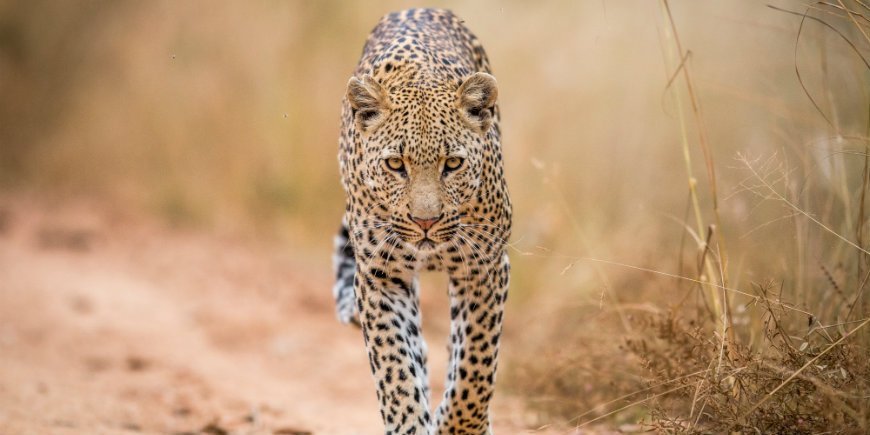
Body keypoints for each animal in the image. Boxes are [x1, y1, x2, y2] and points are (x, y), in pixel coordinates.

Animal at [332, 8, 511, 434]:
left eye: (453, 164)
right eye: (396, 165)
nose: (425, 221)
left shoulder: (485, 268)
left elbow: (475, 366)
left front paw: (458, 425)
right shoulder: (380, 277)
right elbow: (395, 369)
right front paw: (412, 421)